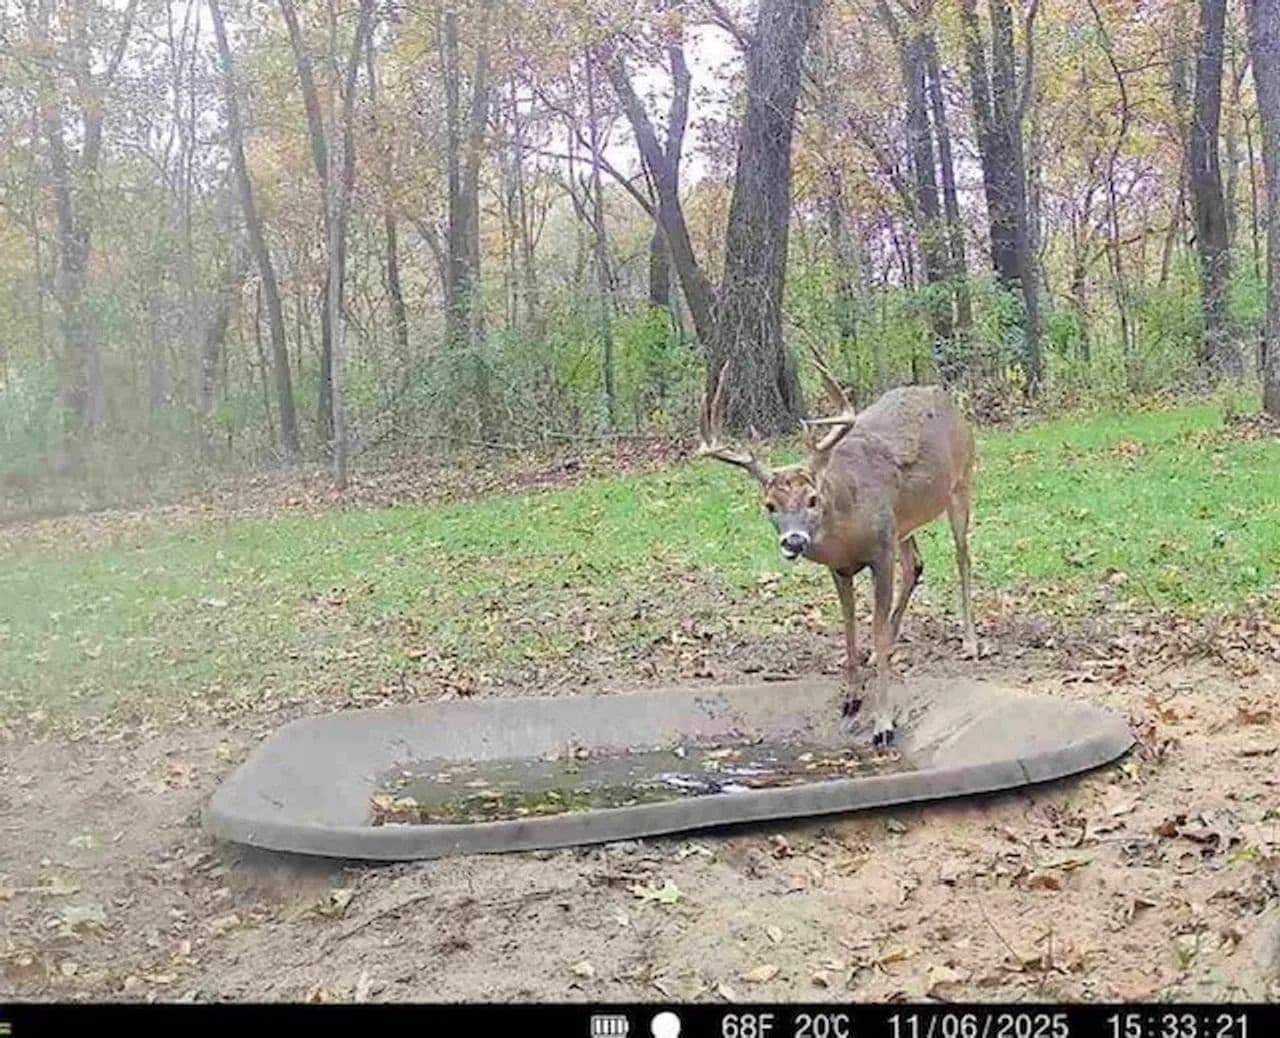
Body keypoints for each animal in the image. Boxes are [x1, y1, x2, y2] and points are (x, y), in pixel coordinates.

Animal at [696, 348, 978, 747]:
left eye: (813, 499)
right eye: (769, 505)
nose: (794, 540)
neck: (847, 528)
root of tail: (944, 397)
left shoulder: (881, 551)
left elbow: (874, 628)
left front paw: (883, 725)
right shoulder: (842, 567)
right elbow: (849, 629)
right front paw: (851, 699)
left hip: (961, 483)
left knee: (962, 556)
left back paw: (970, 643)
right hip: (904, 524)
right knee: (917, 564)